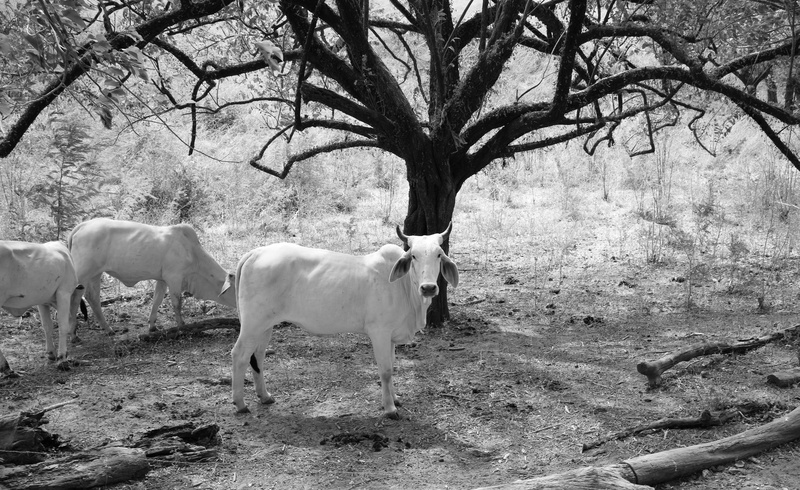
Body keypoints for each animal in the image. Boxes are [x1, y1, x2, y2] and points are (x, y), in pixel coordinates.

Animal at [1, 240, 83, 375]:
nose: (76, 337)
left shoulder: (42, 301)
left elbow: (47, 326)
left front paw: (51, 353)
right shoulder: (64, 293)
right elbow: (63, 326)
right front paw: (62, 359)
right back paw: (6, 366)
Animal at [68, 218, 236, 334]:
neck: (192, 253)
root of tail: (83, 225)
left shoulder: (162, 280)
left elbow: (157, 300)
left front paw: (152, 326)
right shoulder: (174, 277)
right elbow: (177, 303)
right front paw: (182, 325)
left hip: (95, 274)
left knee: (92, 297)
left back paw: (107, 329)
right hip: (82, 273)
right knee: (74, 297)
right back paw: (73, 334)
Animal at [226, 223, 459, 418]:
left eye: (439, 254)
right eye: (414, 256)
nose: (428, 288)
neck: (404, 289)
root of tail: (256, 252)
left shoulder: (391, 337)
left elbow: (392, 367)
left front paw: (395, 399)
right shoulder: (379, 332)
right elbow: (385, 371)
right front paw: (390, 408)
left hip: (265, 326)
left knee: (257, 356)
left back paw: (264, 396)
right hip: (252, 324)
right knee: (240, 355)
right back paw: (240, 403)